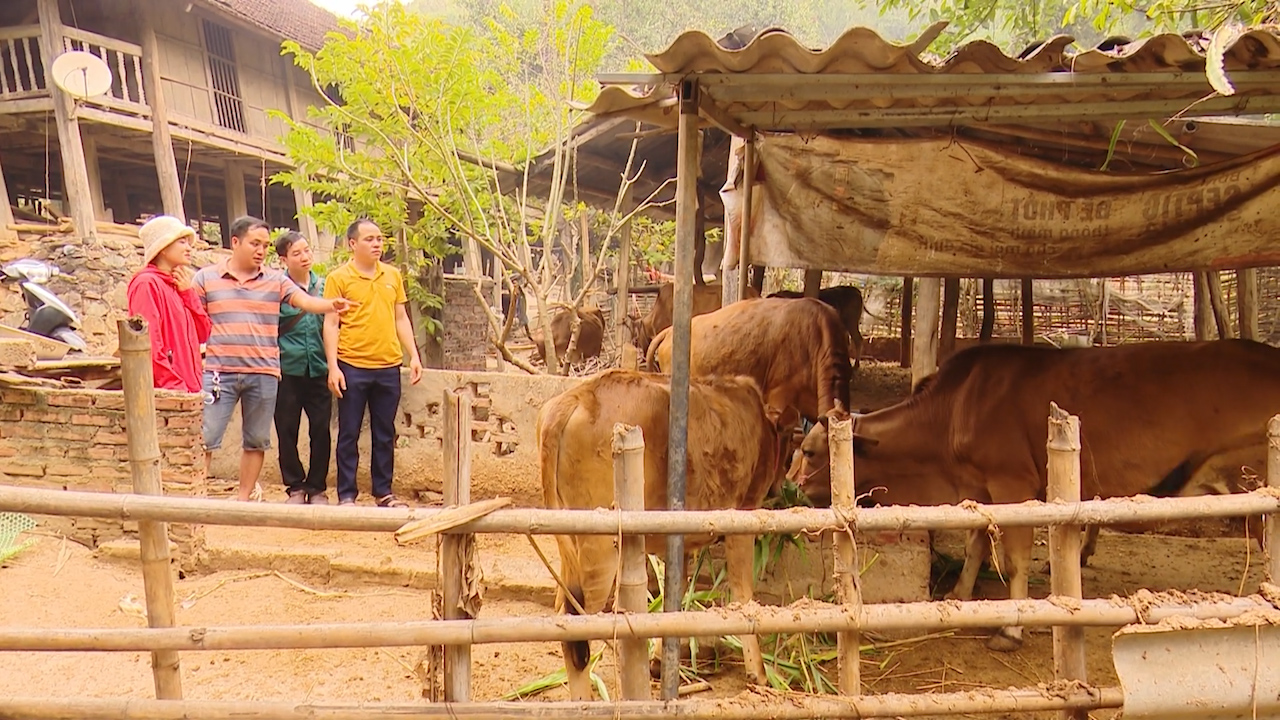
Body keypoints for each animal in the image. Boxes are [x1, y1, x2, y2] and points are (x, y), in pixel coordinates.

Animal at [535, 363, 783, 696]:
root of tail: (575, 397)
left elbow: (672, 594)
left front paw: (658, 662)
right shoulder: (743, 515)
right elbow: (743, 594)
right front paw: (758, 674)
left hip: (570, 544)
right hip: (599, 547)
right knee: (575, 627)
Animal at [788, 338, 1280, 648]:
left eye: (810, 451)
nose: (791, 487)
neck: (952, 411)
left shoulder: (1012, 485)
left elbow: (1013, 560)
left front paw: (1010, 630)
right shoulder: (982, 489)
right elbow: (975, 545)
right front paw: (958, 595)